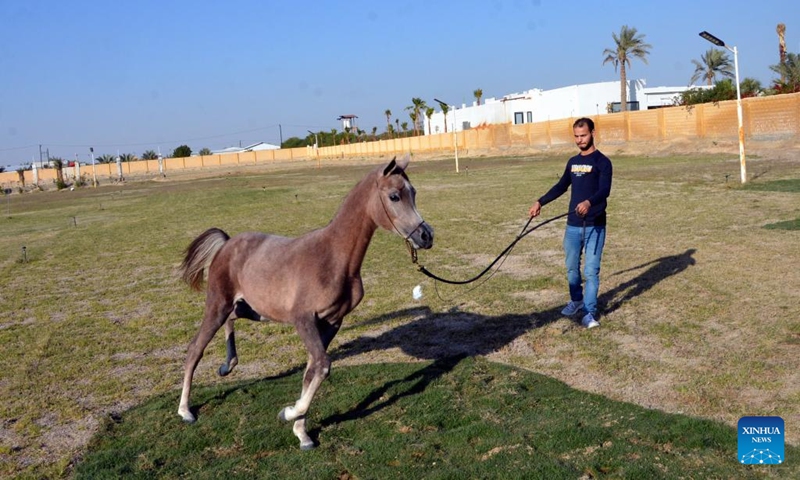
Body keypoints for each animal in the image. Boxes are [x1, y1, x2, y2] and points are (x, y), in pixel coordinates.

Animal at [177, 157, 434, 450]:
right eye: (394, 196)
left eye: (413, 192)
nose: (426, 236)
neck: (334, 258)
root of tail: (227, 244)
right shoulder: (304, 320)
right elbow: (322, 366)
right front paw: (288, 413)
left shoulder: (332, 322)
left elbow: (311, 372)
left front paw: (302, 433)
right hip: (218, 304)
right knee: (195, 348)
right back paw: (185, 410)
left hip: (252, 309)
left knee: (232, 320)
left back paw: (227, 364)